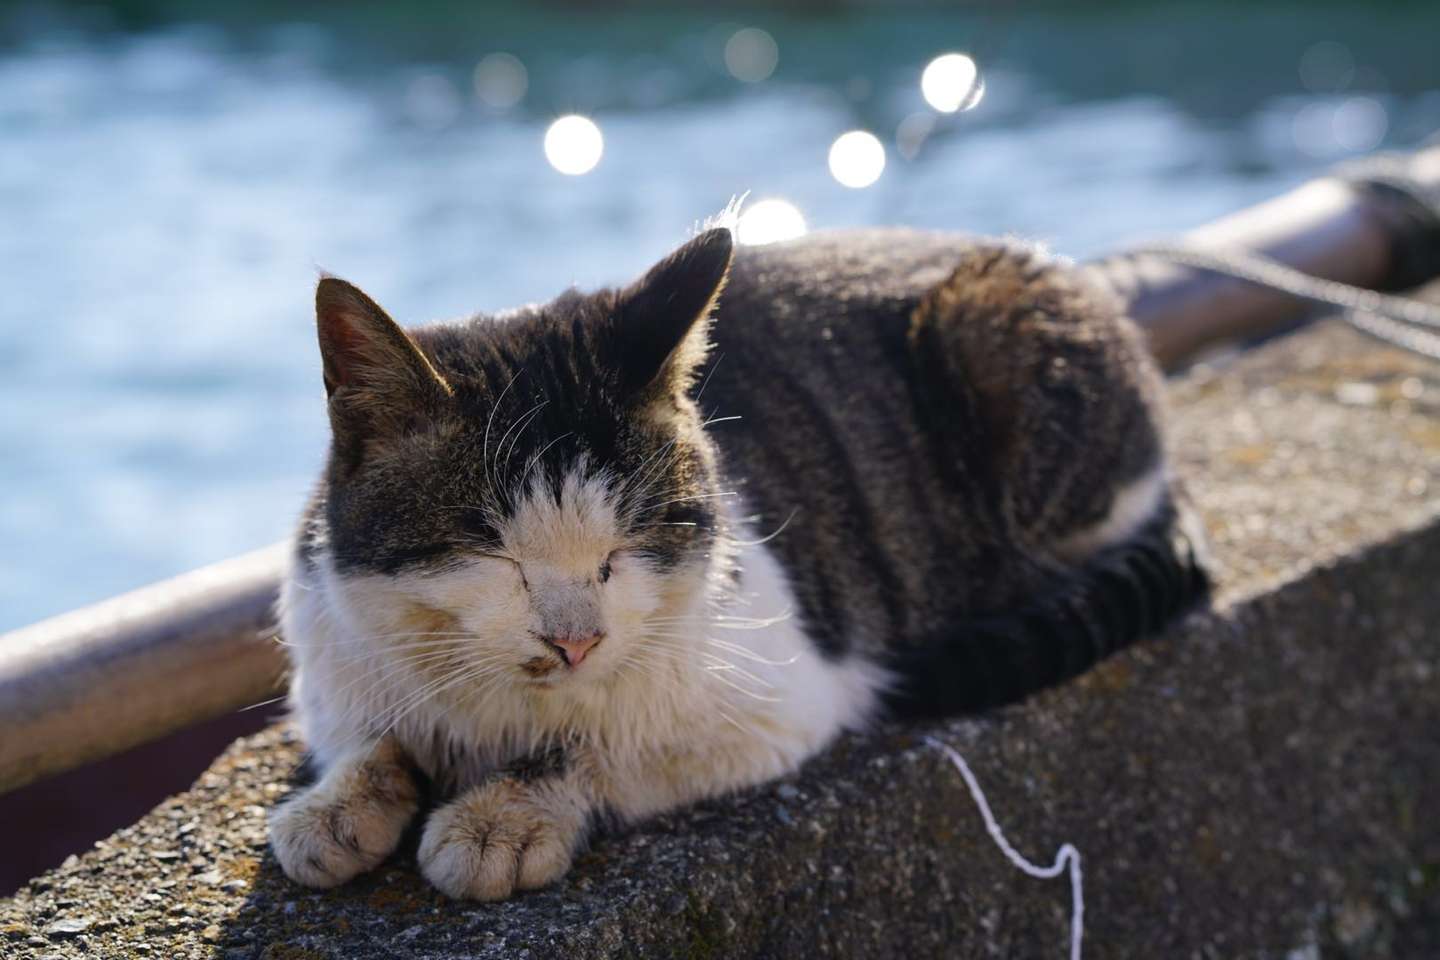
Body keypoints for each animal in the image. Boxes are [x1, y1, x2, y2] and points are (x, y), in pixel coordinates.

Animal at [267, 223, 1203, 903]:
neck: (494, 709)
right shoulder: (331, 651)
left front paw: (503, 817)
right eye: (494, 553)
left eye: (628, 543)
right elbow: (368, 733)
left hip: (1002, 348)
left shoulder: (780, 697)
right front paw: (336, 803)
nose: (577, 641)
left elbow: (596, 743)